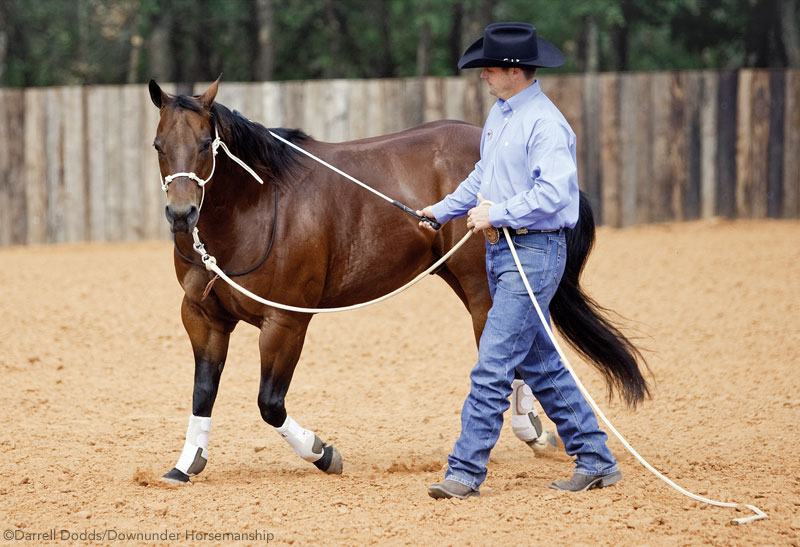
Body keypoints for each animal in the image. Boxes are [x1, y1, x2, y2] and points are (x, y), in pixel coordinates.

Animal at [148, 78, 648, 484]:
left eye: (205, 144)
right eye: (157, 145)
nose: (181, 214)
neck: (257, 208)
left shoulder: (285, 322)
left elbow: (270, 403)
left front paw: (323, 453)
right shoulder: (203, 317)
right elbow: (203, 391)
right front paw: (186, 463)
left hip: (482, 288)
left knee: (515, 346)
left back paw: (532, 428)